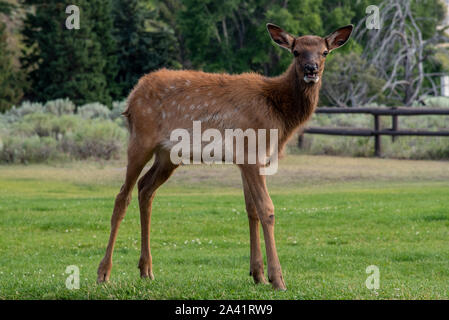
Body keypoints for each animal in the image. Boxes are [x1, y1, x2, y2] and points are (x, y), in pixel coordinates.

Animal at [98, 23, 354, 292]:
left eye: (324, 52)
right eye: (296, 51)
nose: (311, 69)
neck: (278, 114)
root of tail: (131, 98)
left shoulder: (248, 158)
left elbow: (251, 209)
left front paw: (257, 274)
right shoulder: (252, 151)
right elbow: (267, 209)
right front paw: (277, 279)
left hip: (168, 155)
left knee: (145, 188)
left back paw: (146, 270)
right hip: (141, 139)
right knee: (122, 196)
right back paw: (104, 273)